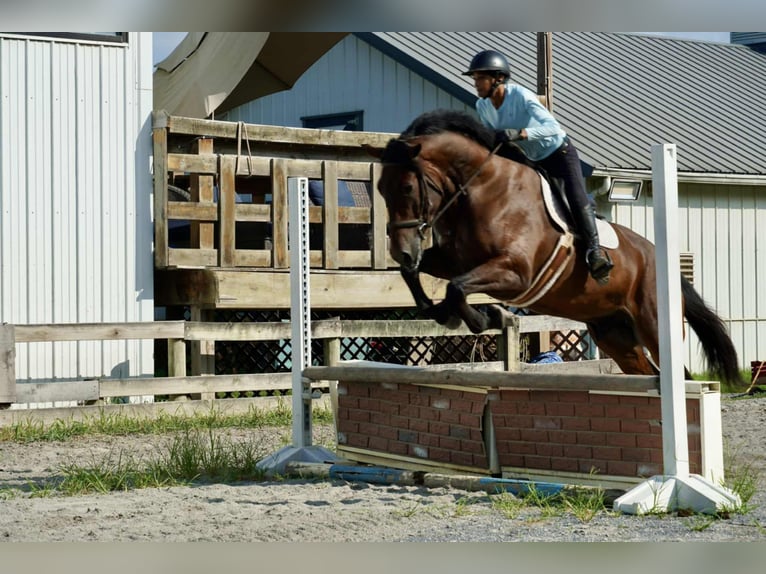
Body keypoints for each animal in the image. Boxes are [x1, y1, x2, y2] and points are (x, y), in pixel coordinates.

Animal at [364, 109, 741, 386]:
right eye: (380, 189)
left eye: (408, 188)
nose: (400, 251)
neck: (482, 189)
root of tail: (660, 262)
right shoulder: (455, 260)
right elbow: (420, 277)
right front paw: (441, 311)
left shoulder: (517, 273)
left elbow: (457, 288)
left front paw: (485, 317)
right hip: (614, 334)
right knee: (650, 373)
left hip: (654, 326)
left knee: (677, 373)